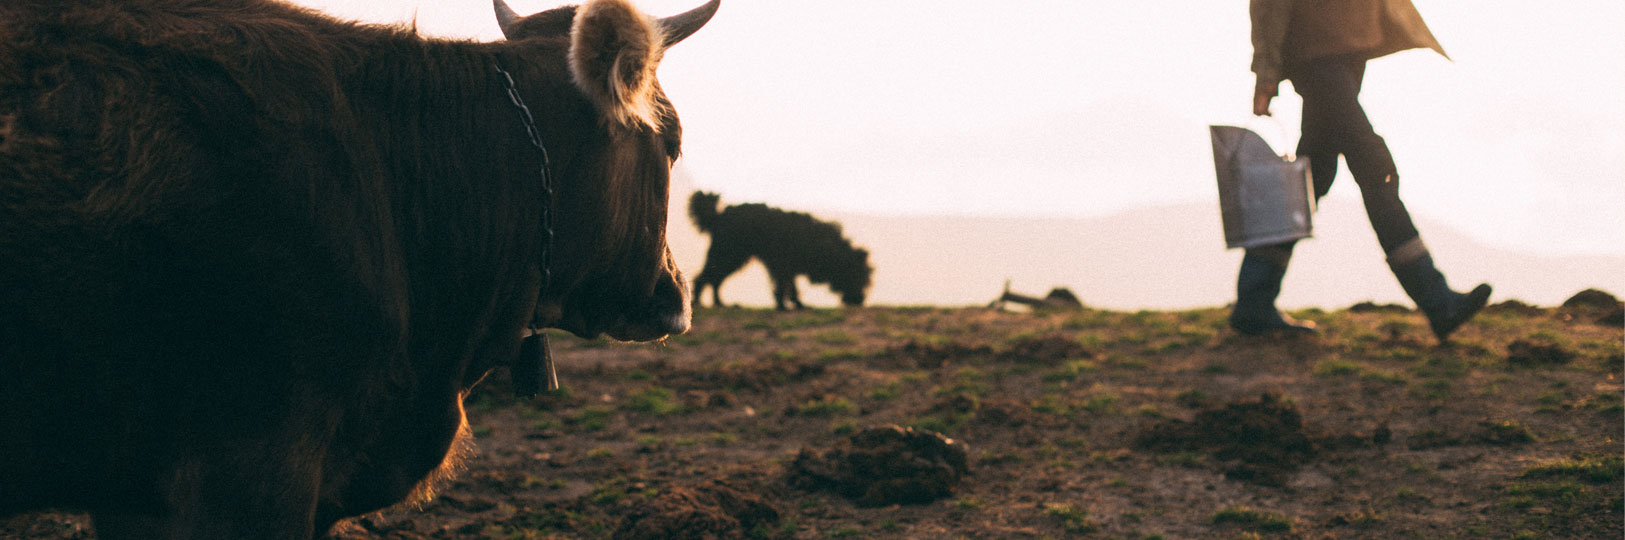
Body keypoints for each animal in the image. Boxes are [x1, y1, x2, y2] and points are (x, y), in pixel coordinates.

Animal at [689, 191, 877, 310]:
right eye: (859, 276)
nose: (860, 301)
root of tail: (717, 215)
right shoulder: (781, 265)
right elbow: (784, 287)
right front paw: (784, 306)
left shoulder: (789, 267)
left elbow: (791, 287)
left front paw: (797, 304)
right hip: (728, 255)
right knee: (704, 277)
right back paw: (701, 302)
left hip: (734, 257)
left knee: (715, 279)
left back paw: (719, 303)